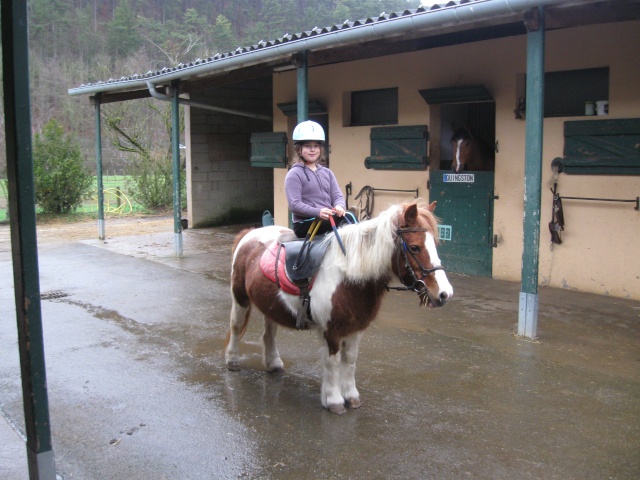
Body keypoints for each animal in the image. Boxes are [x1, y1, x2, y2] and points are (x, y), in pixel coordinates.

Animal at [225, 201, 456, 414]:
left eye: (435, 244)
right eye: (415, 247)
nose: (445, 294)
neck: (348, 275)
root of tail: (248, 234)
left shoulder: (356, 329)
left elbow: (350, 361)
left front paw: (351, 397)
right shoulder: (331, 331)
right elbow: (333, 363)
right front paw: (333, 400)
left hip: (271, 305)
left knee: (269, 334)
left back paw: (273, 364)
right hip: (240, 299)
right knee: (236, 327)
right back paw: (232, 361)